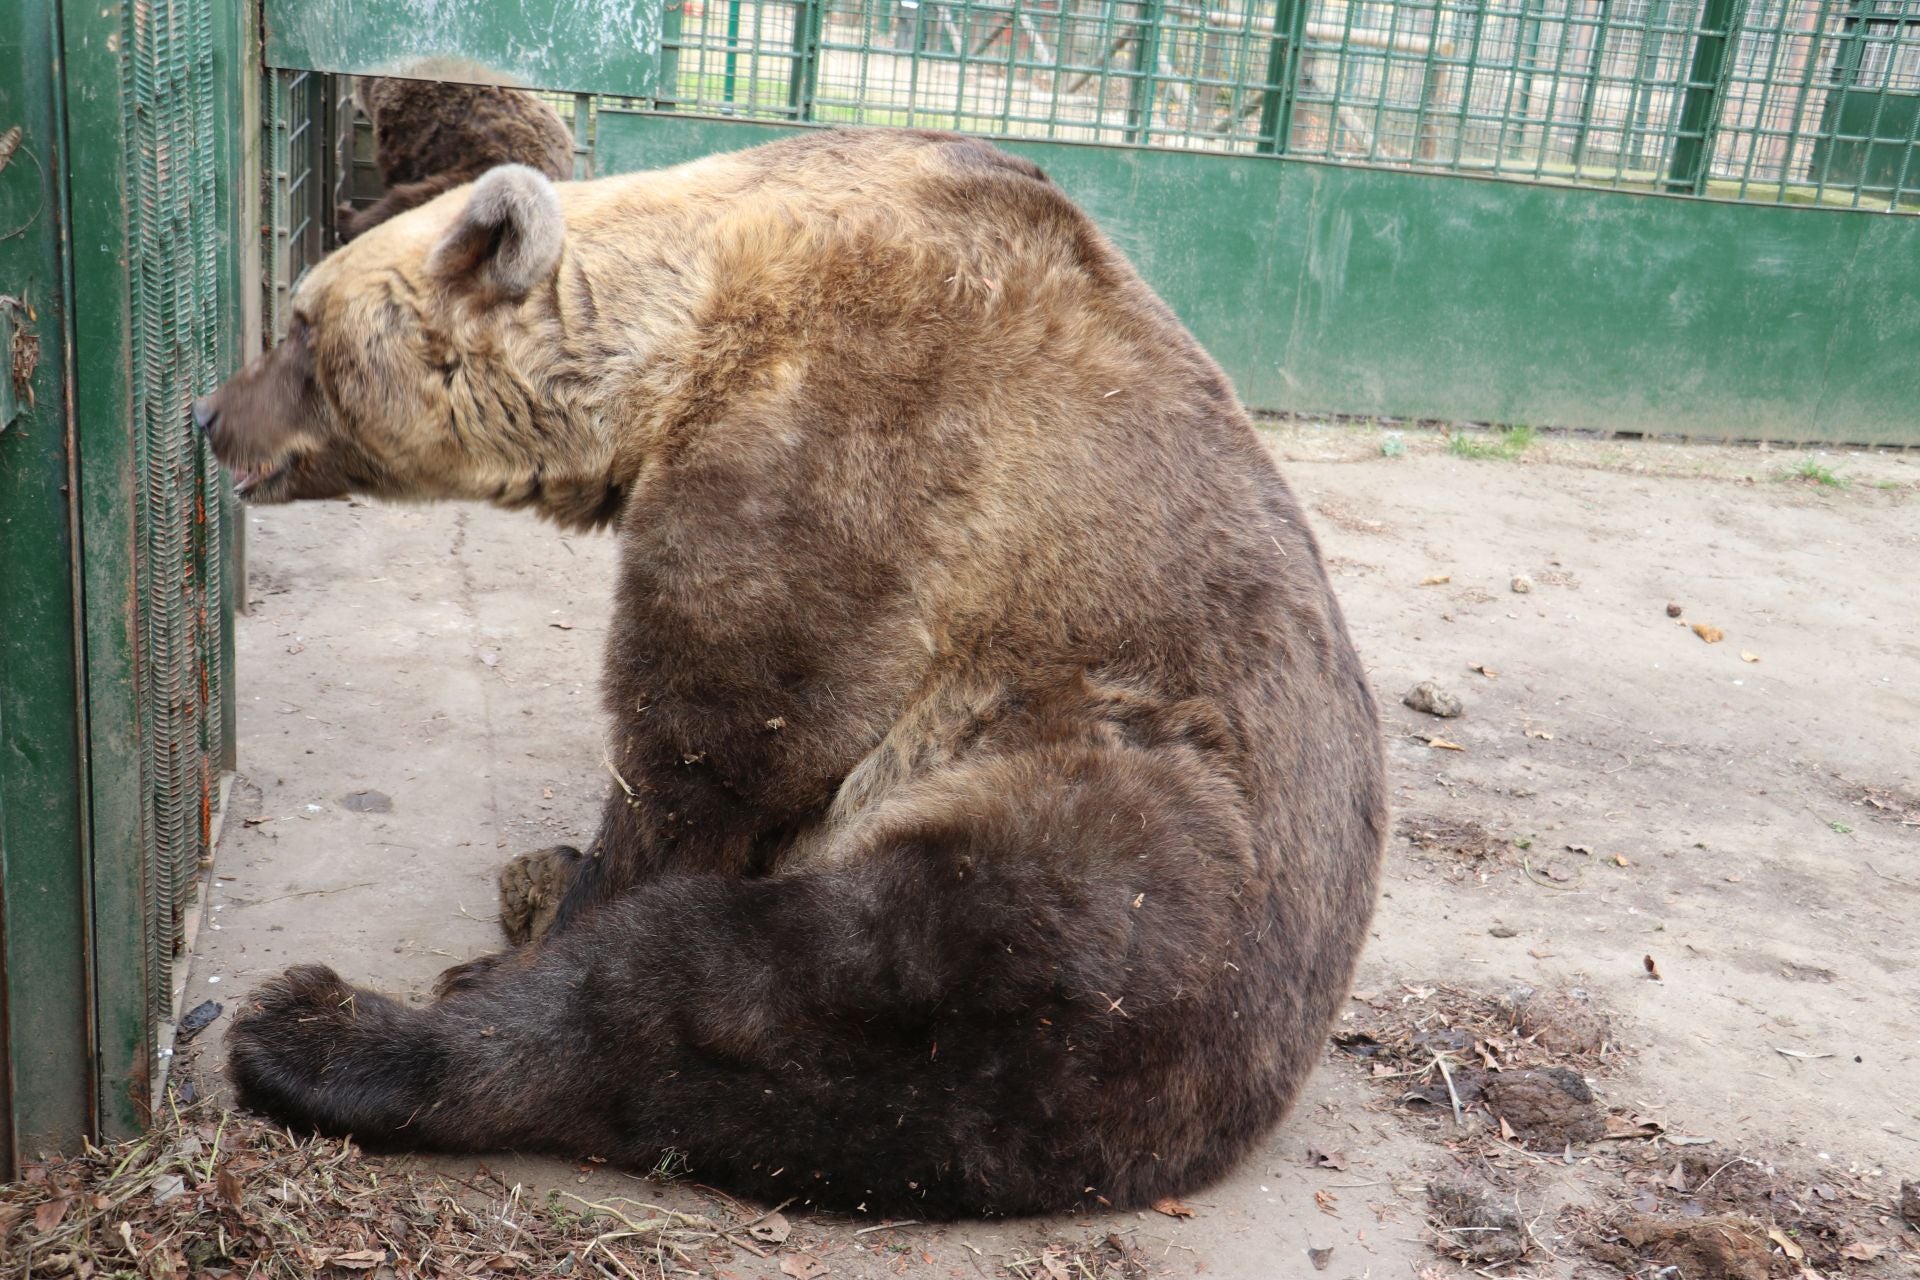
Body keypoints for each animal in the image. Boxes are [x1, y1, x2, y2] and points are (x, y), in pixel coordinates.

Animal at [194, 130, 1390, 1220]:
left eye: (298, 325)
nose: (209, 414)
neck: (671, 351)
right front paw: (560, 867)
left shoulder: (845, 444)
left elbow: (715, 737)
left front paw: (564, 899)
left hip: (1100, 851)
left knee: (741, 992)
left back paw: (321, 1027)